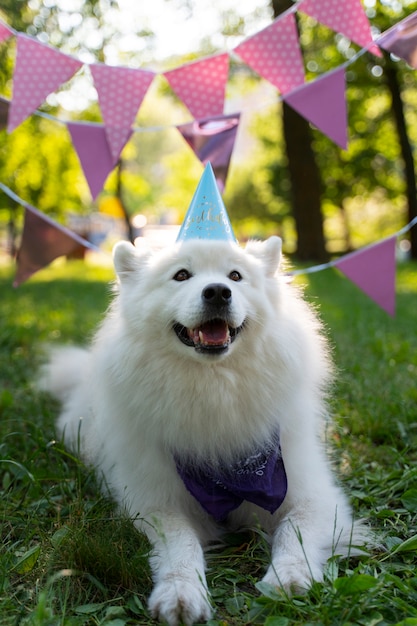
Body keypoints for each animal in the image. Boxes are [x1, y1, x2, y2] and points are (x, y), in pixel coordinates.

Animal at [39, 236, 368, 620]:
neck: (214, 390)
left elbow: (295, 533)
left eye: (235, 276)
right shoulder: (155, 502)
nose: (217, 292)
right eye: (181, 275)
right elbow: (181, 543)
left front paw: (290, 577)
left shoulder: (311, 493)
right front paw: (181, 592)